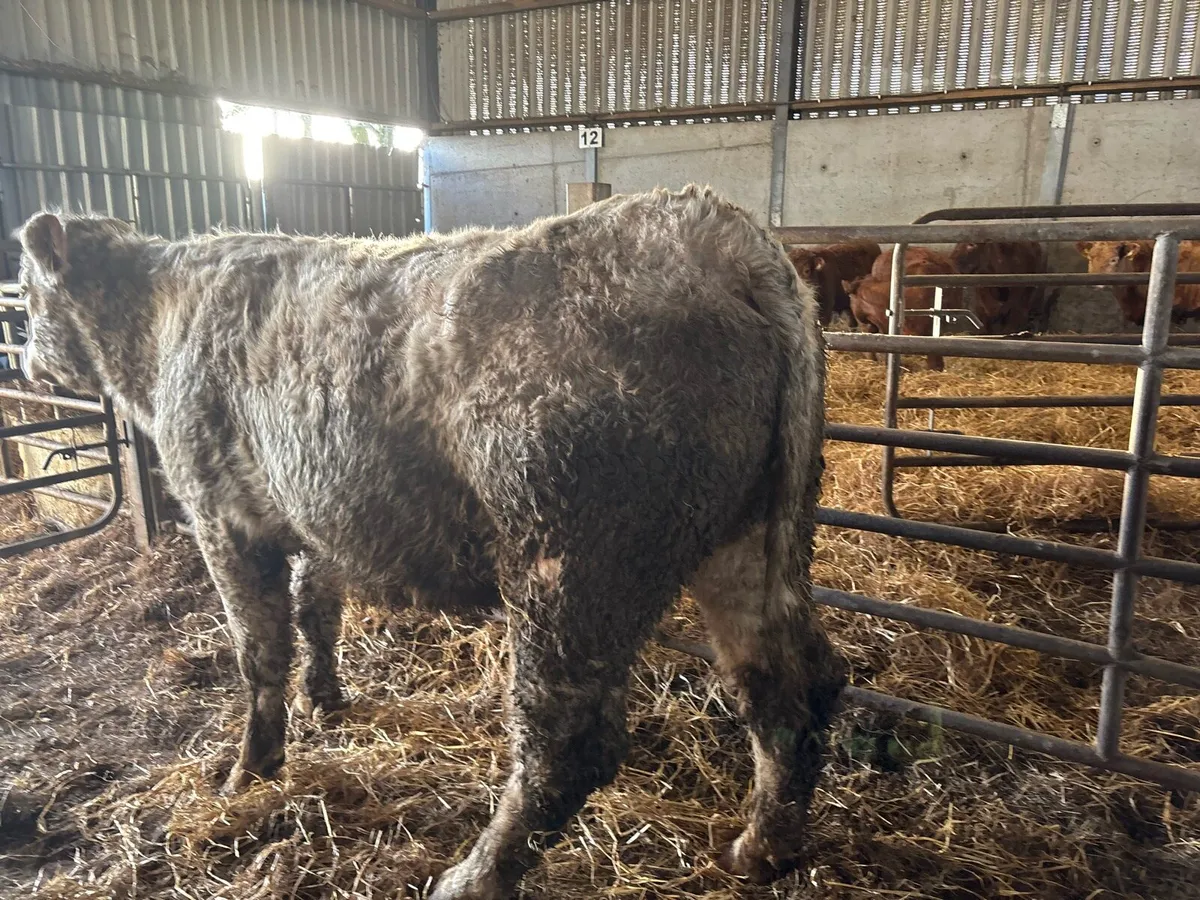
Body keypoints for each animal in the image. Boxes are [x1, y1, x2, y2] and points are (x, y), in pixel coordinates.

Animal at [16, 186, 846, 900]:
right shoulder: (317, 512)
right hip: (751, 539)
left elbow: (259, 653)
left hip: (568, 565)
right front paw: (327, 698)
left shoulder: (222, 515)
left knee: (567, 740)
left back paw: (473, 877)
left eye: (25, 296)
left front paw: (248, 770)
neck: (159, 321)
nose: (24, 362)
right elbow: (317, 608)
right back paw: (762, 848)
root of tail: (722, 232)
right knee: (789, 685)